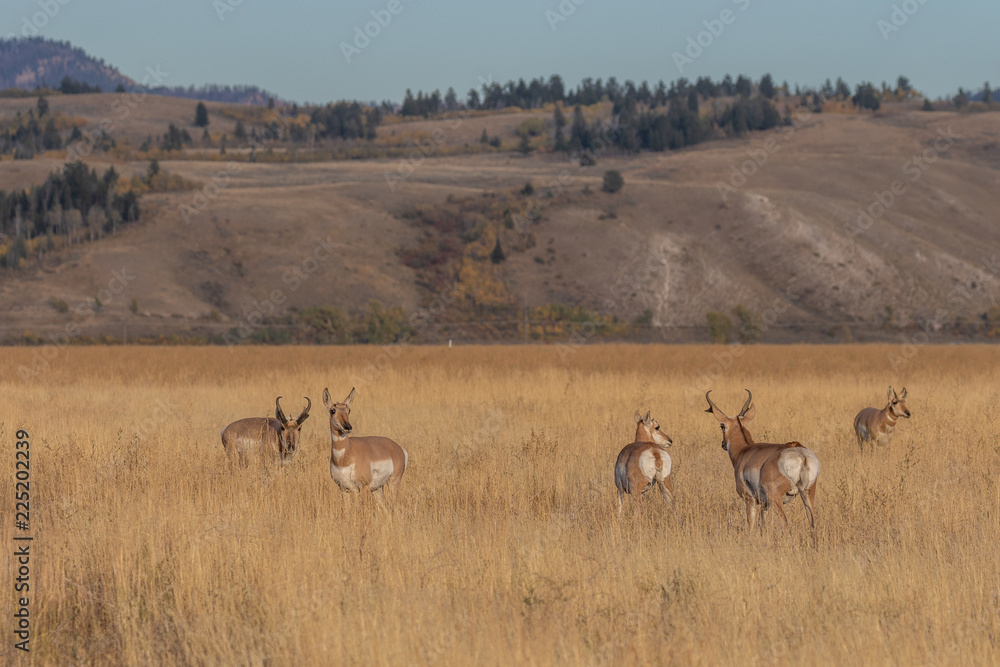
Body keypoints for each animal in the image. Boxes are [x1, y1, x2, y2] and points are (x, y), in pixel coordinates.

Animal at [705, 390, 819, 542]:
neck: (745, 450)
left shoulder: (750, 500)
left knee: (785, 523)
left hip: (776, 499)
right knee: (813, 523)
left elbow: (751, 525)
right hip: (807, 494)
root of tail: (800, 453)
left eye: (721, 426)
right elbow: (761, 524)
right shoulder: (764, 505)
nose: (723, 444)